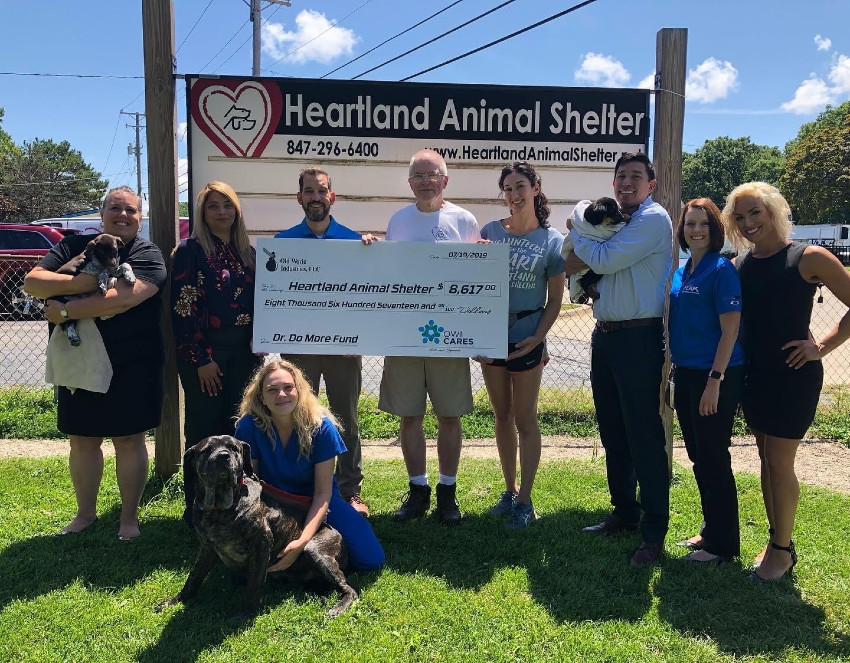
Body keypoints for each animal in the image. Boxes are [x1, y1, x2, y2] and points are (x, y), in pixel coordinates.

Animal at [155, 435, 357, 623]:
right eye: (206, 450)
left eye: (233, 448)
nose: (223, 456)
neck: (220, 509)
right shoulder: (207, 547)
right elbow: (194, 577)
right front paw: (175, 601)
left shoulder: (261, 545)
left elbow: (253, 584)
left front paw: (246, 614)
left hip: (315, 550)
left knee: (350, 589)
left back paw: (338, 606)